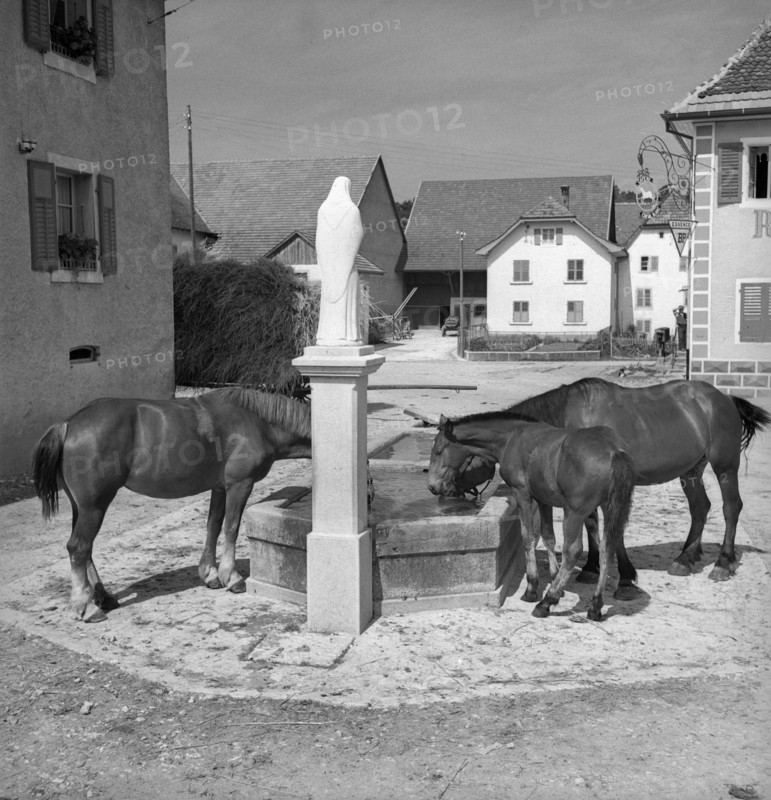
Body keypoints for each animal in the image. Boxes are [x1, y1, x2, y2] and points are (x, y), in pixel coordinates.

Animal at [32, 387, 312, 623]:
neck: (257, 423)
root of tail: (68, 424)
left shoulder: (219, 487)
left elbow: (213, 525)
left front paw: (210, 574)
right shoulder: (239, 485)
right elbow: (231, 527)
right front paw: (231, 577)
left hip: (81, 507)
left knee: (85, 549)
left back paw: (103, 597)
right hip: (94, 507)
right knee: (78, 547)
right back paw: (86, 607)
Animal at [428, 412, 636, 621]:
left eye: (438, 451)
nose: (432, 486)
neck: (511, 438)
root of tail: (613, 450)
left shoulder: (523, 495)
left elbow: (528, 537)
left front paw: (531, 588)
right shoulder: (544, 499)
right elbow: (548, 536)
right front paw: (555, 579)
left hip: (575, 512)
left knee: (573, 551)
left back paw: (546, 603)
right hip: (608, 508)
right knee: (606, 548)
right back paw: (595, 606)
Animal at [441, 378, 770, 584]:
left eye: (441, 450)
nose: (436, 487)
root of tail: (724, 398)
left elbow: (611, 531)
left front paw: (623, 574)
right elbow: (592, 525)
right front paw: (591, 567)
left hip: (725, 466)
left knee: (731, 508)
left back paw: (724, 562)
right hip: (690, 471)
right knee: (700, 508)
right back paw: (686, 557)